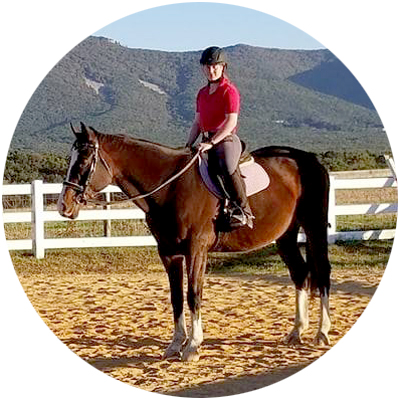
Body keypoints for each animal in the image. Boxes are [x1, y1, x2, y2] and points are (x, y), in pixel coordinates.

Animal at [56, 122, 332, 362]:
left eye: (83, 160)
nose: (63, 206)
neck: (170, 186)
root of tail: (309, 159)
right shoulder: (169, 252)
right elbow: (176, 297)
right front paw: (175, 345)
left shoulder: (196, 249)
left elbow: (193, 294)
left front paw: (193, 347)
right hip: (285, 235)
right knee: (300, 273)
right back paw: (296, 332)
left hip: (314, 227)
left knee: (323, 272)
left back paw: (322, 332)